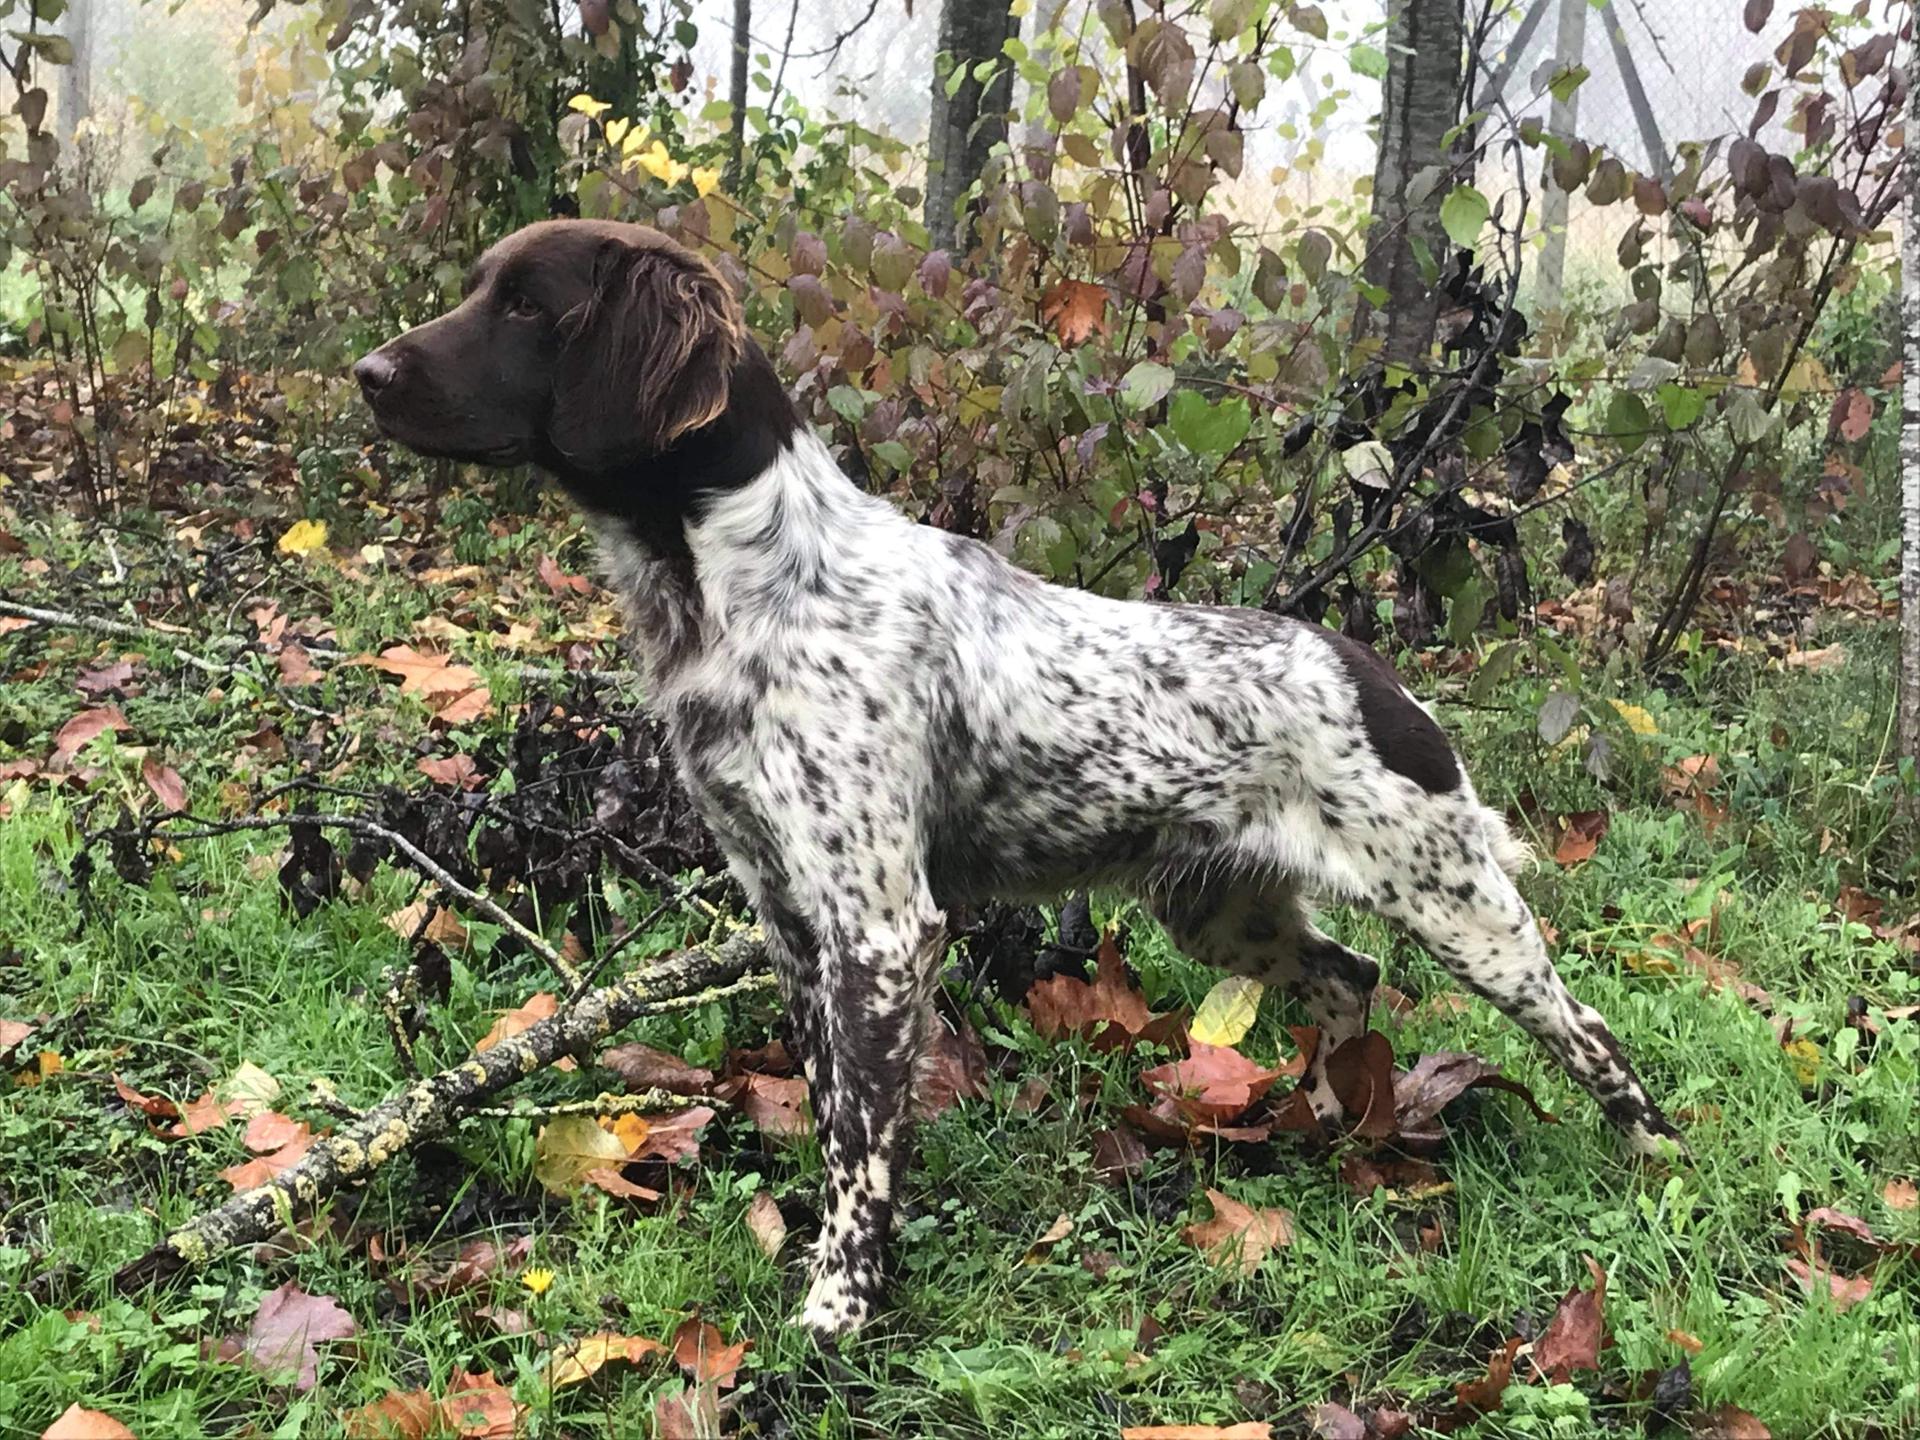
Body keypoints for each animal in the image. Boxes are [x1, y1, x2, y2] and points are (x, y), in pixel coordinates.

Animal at [353, 219, 1674, 1351]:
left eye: (528, 306)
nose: (367, 372)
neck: (744, 585)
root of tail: (1373, 669)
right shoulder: (791, 919)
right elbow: (834, 1115)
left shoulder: (883, 928)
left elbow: (862, 1148)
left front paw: (839, 1309)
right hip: (1220, 907)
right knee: (1351, 978)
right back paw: (1323, 1123)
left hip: (1459, 905)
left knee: (1590, 1033)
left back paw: (1653, 1163)